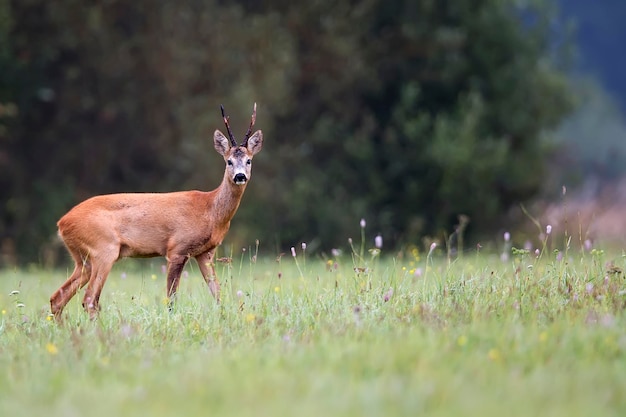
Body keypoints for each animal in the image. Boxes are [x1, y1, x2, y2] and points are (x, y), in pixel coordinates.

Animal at [50, 104, 260, 318]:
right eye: (229, 161)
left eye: (249, 160)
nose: (240, 176)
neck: (210, 210)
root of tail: (62, 223)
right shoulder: (176, 249)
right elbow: (171, 298)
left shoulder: (205, 253)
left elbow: (217, 294)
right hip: (104, 249)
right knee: (90, 299)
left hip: (83, 259)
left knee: (57, 298)